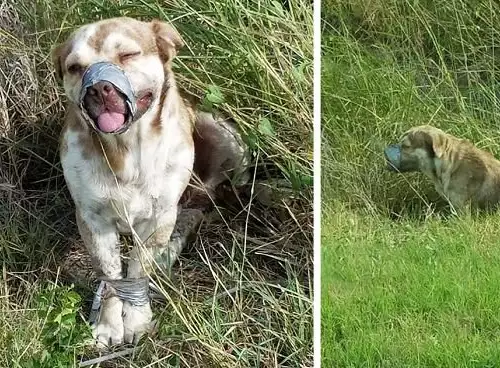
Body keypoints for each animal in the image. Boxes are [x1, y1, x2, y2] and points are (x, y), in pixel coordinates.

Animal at [51, 17, 250, 346]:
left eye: (129, 55)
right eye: (75, 67)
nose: (99, 88)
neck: (127, 150)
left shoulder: (158, 217)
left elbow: (137, 269)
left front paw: (136, 319)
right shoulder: (93, 220)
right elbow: (111, 274)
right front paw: (108, 323)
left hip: (224, 136)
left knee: (201, 206)